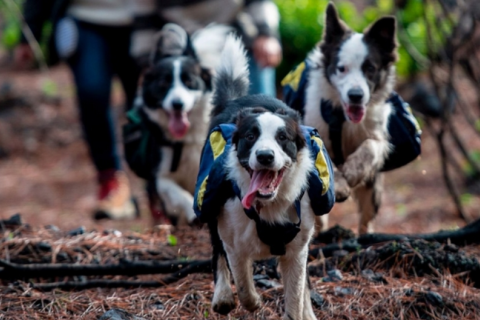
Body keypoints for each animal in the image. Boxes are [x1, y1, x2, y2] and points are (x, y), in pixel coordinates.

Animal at [136, 23, 232, 224]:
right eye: (164, 83)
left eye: (189, 81)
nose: (177, 104)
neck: (184, 139)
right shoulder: (160, 174)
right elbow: (177, 193)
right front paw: (191, 212)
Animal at [195, 35, 334, 320]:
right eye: (250, 136)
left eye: (283, 137)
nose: (265, 156)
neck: (269, 205)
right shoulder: (233, 241)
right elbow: (243, 283)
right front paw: (252, 302)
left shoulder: (297, 250)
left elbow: (296, 294)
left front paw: (299, 311)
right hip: (210, 206)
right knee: (217, 253)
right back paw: (222, 296)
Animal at [302, 3, 400, 235]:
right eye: (341, 68)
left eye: (370, 68)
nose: (356, 95)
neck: (344, 119)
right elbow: (324, 158)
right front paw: (340, 185)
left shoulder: (378, 136)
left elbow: (370, 147)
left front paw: (352, 174)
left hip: (373, 190)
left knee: (366, 218)